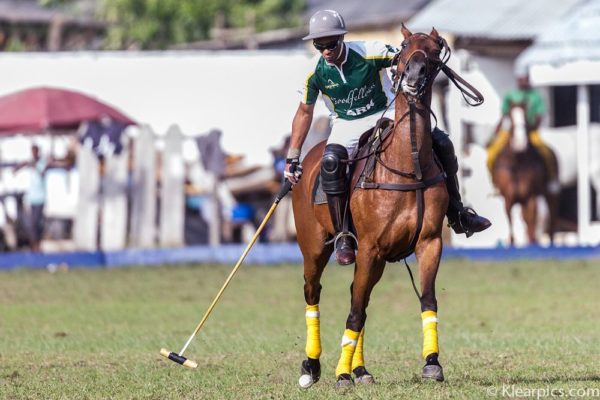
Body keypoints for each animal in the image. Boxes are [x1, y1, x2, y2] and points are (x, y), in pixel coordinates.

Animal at [290, 25, 482, 388]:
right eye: (404, 48)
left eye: (434, 50)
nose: (413, 78)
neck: (407, 165)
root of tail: (311, 155)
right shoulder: (368, 247)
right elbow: (354, 311)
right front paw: (340, 375)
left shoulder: (428, 243)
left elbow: (426, 299)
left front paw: (432, 363)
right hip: (315, 247)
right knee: (313, 293)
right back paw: (311, 367)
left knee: (358, 295)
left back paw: (361, 370)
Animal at [490, 103, 560, 245]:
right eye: (509, 117)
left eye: (527, 115)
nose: (520, 142)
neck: (517, 162)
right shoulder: (508, 198)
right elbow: (512, 232)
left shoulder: (530, 197)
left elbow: (533, 230)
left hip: (550, 195)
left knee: (551, 223)